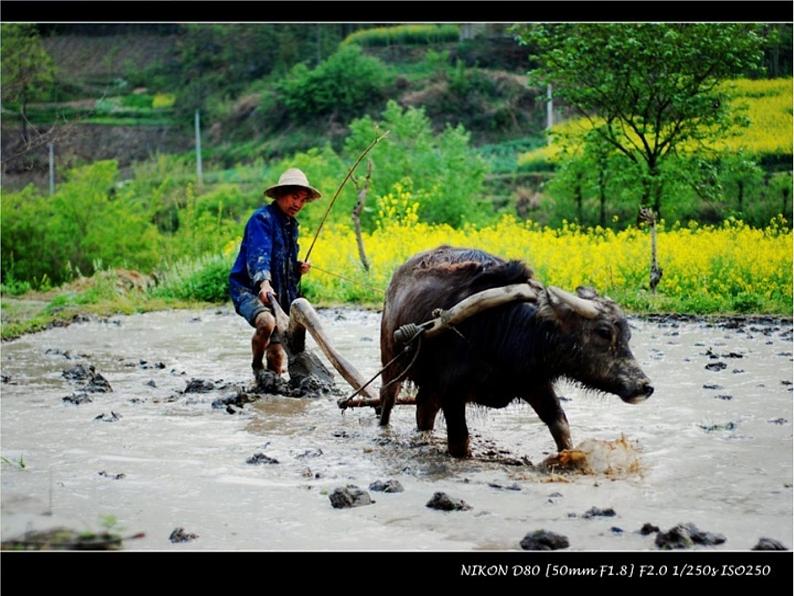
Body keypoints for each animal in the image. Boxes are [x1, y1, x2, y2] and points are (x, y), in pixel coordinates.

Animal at [380, 246, 652, 456]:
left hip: (430, 386)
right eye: (604, 332)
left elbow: (561, 426)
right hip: (391, 364)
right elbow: (459, 442)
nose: (645, 387)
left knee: (423, 413)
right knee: (387, 401)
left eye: (627, 335)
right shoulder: (451, 392)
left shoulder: (535, 383)